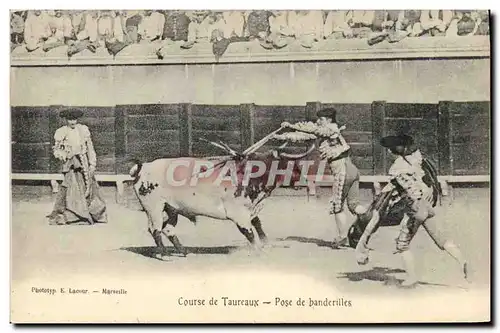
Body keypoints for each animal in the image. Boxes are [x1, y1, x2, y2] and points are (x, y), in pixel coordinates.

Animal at [129, 139, 316, 258]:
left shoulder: (251, 208)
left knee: (168, 229)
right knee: (155, 229)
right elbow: (248, 231)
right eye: (288, 165)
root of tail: (143, 167)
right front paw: (258, 250)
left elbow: (257, 225)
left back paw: (183, 251)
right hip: (154, 207)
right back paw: (165, 255)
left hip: (172, 209)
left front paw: (266, 245)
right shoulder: (237, 213)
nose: (305, 180)